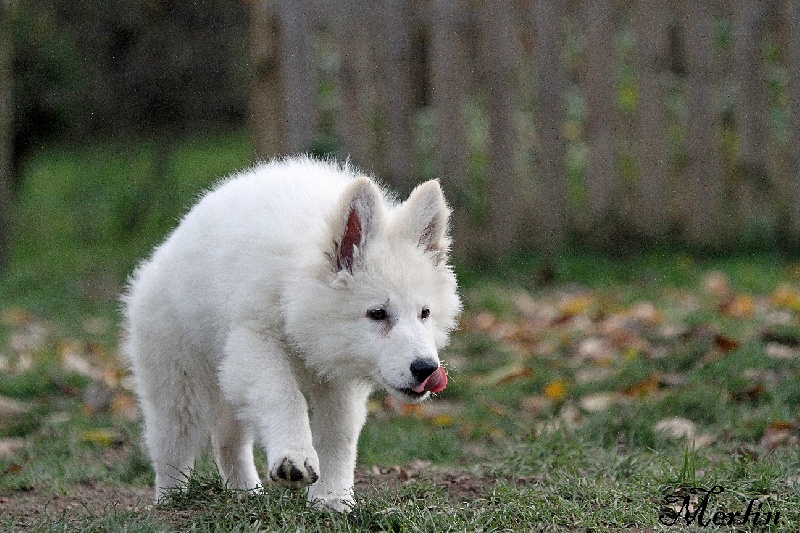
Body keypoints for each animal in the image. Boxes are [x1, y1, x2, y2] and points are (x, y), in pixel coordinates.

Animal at [122, 157, 460, 512]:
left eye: (425, 313)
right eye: (378, 313)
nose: (426, 369)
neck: (295, 287)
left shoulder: (339, 375)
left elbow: (339, 433)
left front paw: (332, 497)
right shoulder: (255, 342)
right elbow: (284, 395)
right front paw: (294, 457)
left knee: (228, 439)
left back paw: (245, 492)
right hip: (177, 380)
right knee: (173, 441)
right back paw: (172, 500)